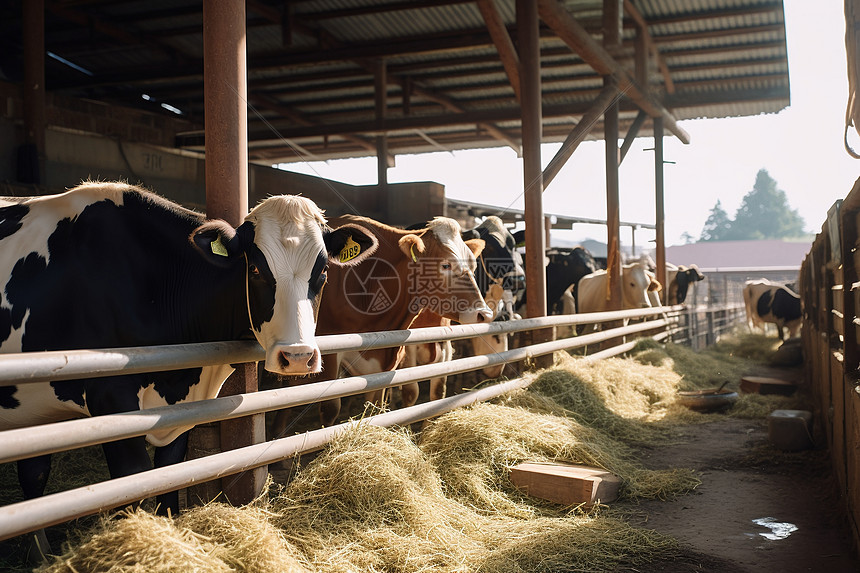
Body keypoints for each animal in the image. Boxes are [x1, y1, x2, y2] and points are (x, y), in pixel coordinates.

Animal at [0, 183, 376, 520]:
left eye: (322, 272)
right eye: (255, 269)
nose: (297, 357)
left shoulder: (179, 415)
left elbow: (168, 482)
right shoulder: (110, 399)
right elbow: (132, 485)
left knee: (33, 475)